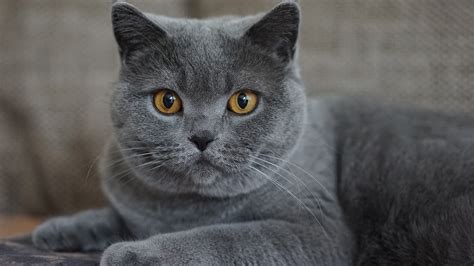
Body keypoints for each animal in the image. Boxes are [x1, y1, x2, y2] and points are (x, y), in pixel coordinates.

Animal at [30, 1, 474, 264]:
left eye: (242, 101)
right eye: (167, 101)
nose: (202, 136)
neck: (186, 210)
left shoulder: (315, 231)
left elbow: (223, 237)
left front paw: (136, 254)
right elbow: (114, 214)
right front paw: (57, 230)